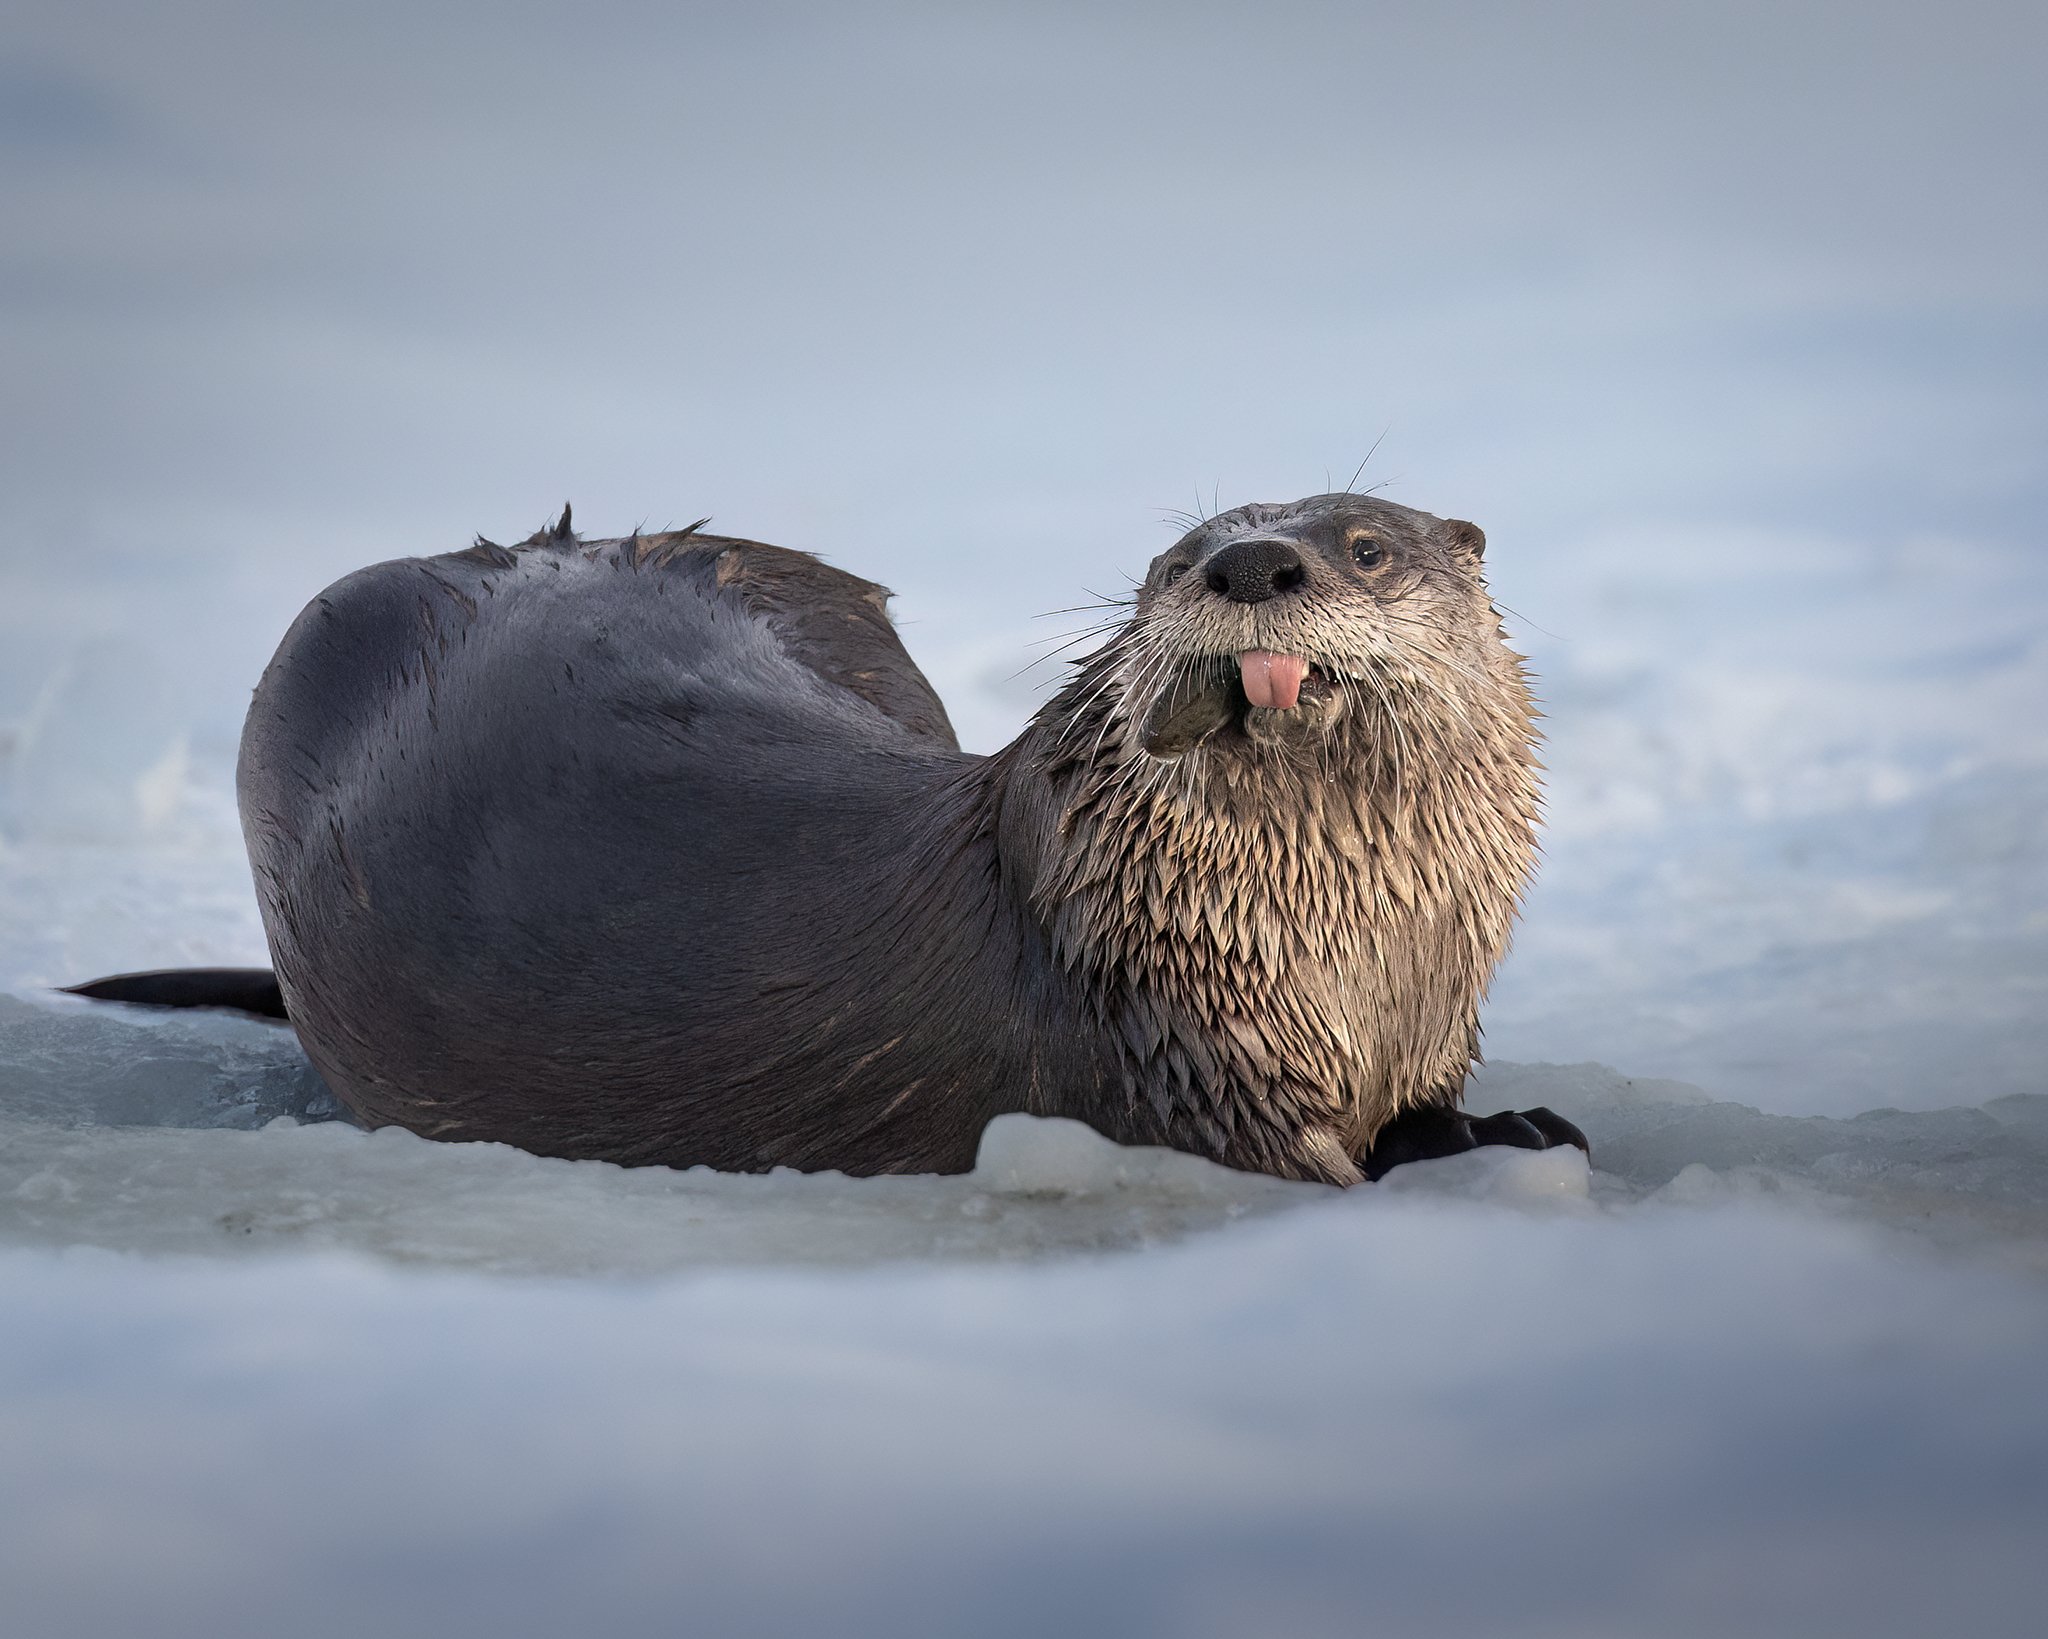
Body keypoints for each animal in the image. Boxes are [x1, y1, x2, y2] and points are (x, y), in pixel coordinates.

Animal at [69, 495, 1583, 1184]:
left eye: (1367, 543)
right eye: (1172, 556)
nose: (1250, 562)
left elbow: (1431, 1108)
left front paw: (1505, 1122)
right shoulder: (1175, 1060)